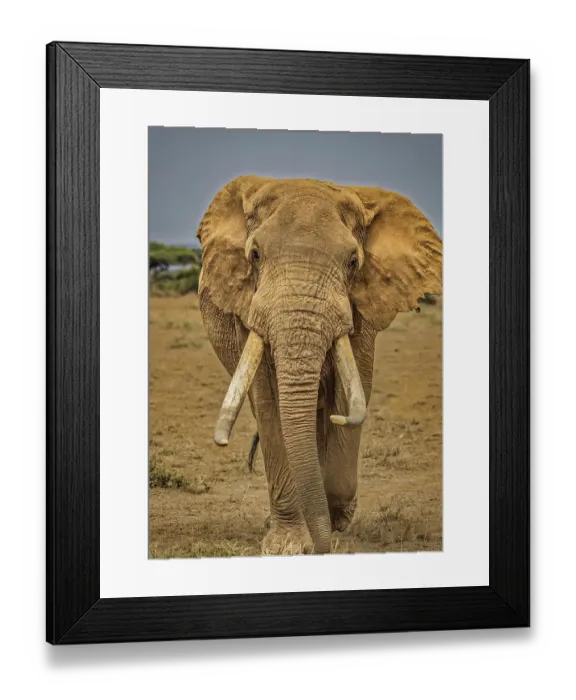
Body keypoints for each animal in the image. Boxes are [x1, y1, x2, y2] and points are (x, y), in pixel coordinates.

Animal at [196, 176, 442, 555]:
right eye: (254, 255)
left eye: (353, 261)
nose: (323, 547)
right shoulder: (248, 310)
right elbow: (269, 404)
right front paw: (287, 545)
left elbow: (349, 394)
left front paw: (335, 518)